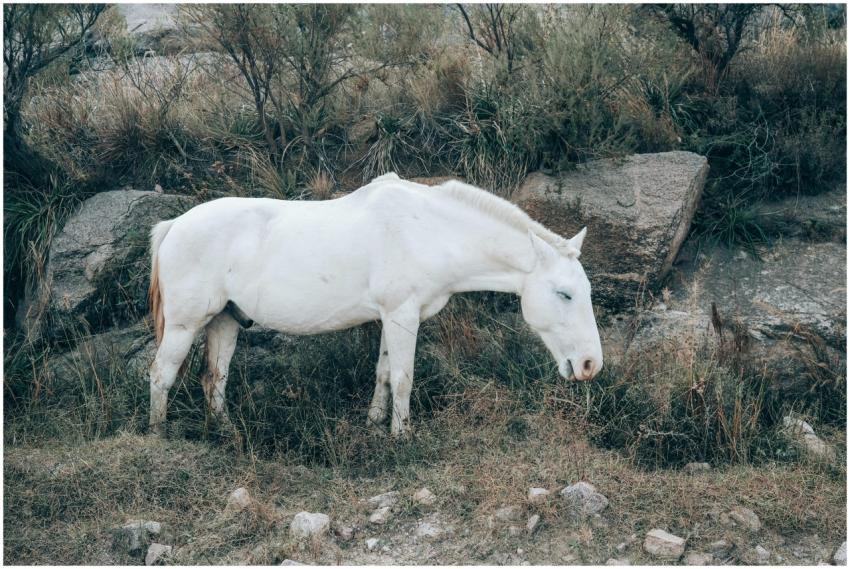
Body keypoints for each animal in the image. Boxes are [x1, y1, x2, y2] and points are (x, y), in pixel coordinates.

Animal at [147, 173, 603, 436]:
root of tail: (174, 226)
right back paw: (157, 434)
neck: (429, 231)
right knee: (161, 375)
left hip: (224, 321)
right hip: (186, 324)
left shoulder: (393, 317)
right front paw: (402, 437)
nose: (589, 365)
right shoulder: (402, 315)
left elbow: (384, 373)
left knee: (215, 378)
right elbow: (403, 377)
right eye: (564, 294)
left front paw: (375, 424)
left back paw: (224, 432)